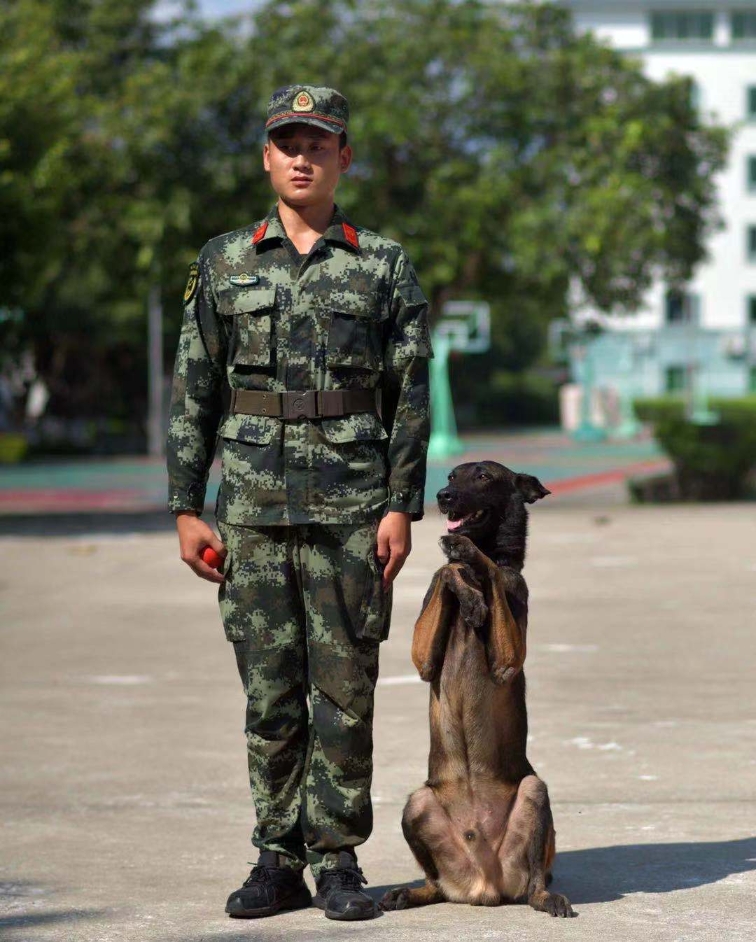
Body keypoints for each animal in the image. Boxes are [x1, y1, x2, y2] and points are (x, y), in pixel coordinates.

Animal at [380, 460, 576, 920]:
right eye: (452, 476)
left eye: (484, 477)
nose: (443, 496)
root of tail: (484, 886)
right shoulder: (423, 659)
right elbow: (445, 572)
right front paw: (465, 588)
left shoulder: (508, 657)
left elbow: (492, 571)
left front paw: (473, 569)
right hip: (418, 804)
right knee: (434, 883)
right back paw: (409, 893)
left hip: (533, 794)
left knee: (536, 883)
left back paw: (548, 898)